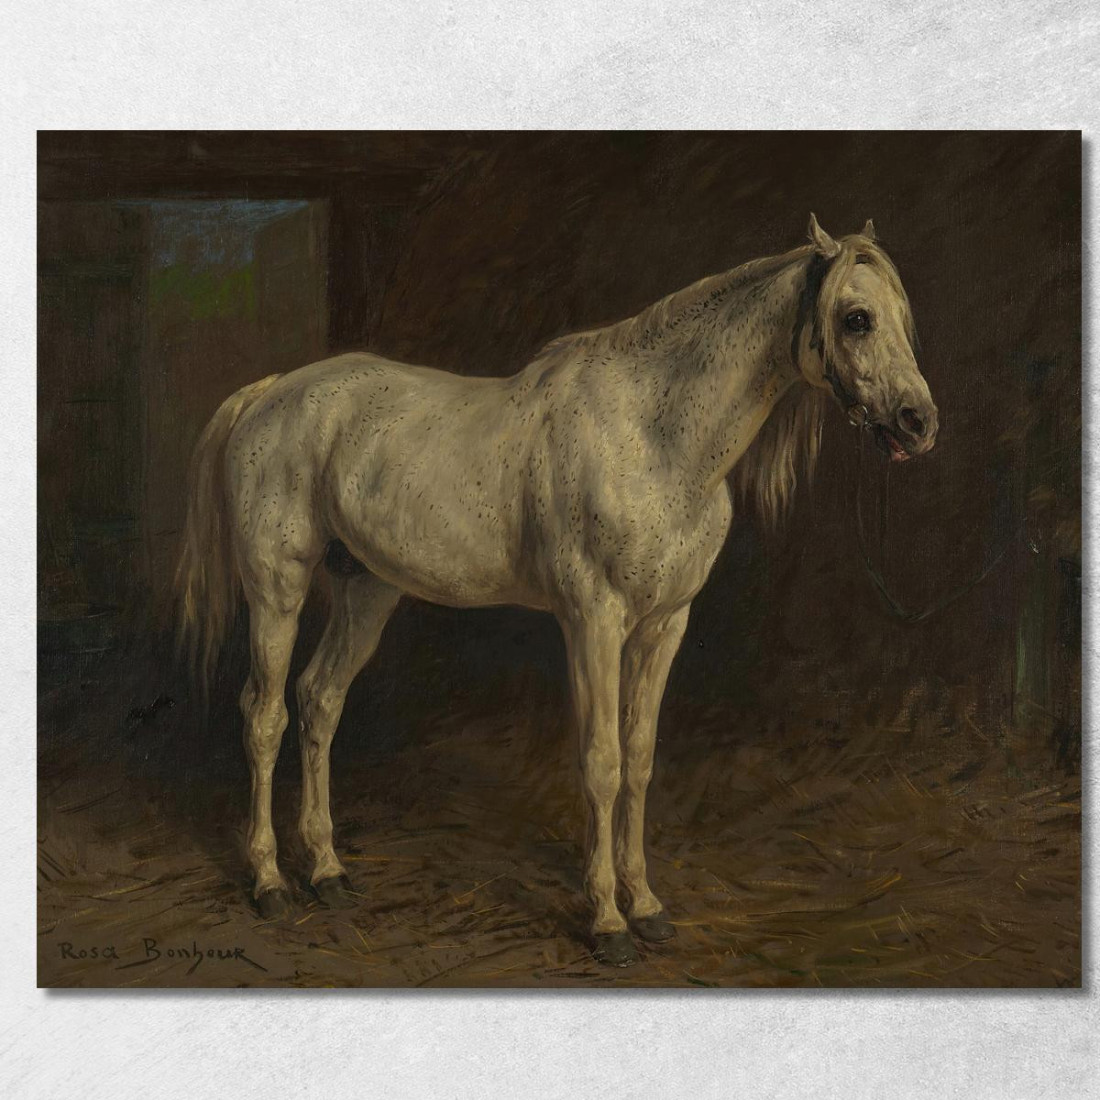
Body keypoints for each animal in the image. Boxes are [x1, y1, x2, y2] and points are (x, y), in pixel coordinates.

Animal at [175, 214, 938, 967]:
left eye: (903, 317)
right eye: (857, 318)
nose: (919, 422)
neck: (653, 437)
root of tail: (271, 392)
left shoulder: (665, 625)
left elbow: (640, 760)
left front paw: (648, 906)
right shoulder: (593, 621)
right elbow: (602, 763)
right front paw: (607, 922)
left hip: (368, 591)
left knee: (320, 701)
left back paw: (328, 872)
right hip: (277, 589)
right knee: (265, 715)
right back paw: (271, 882)